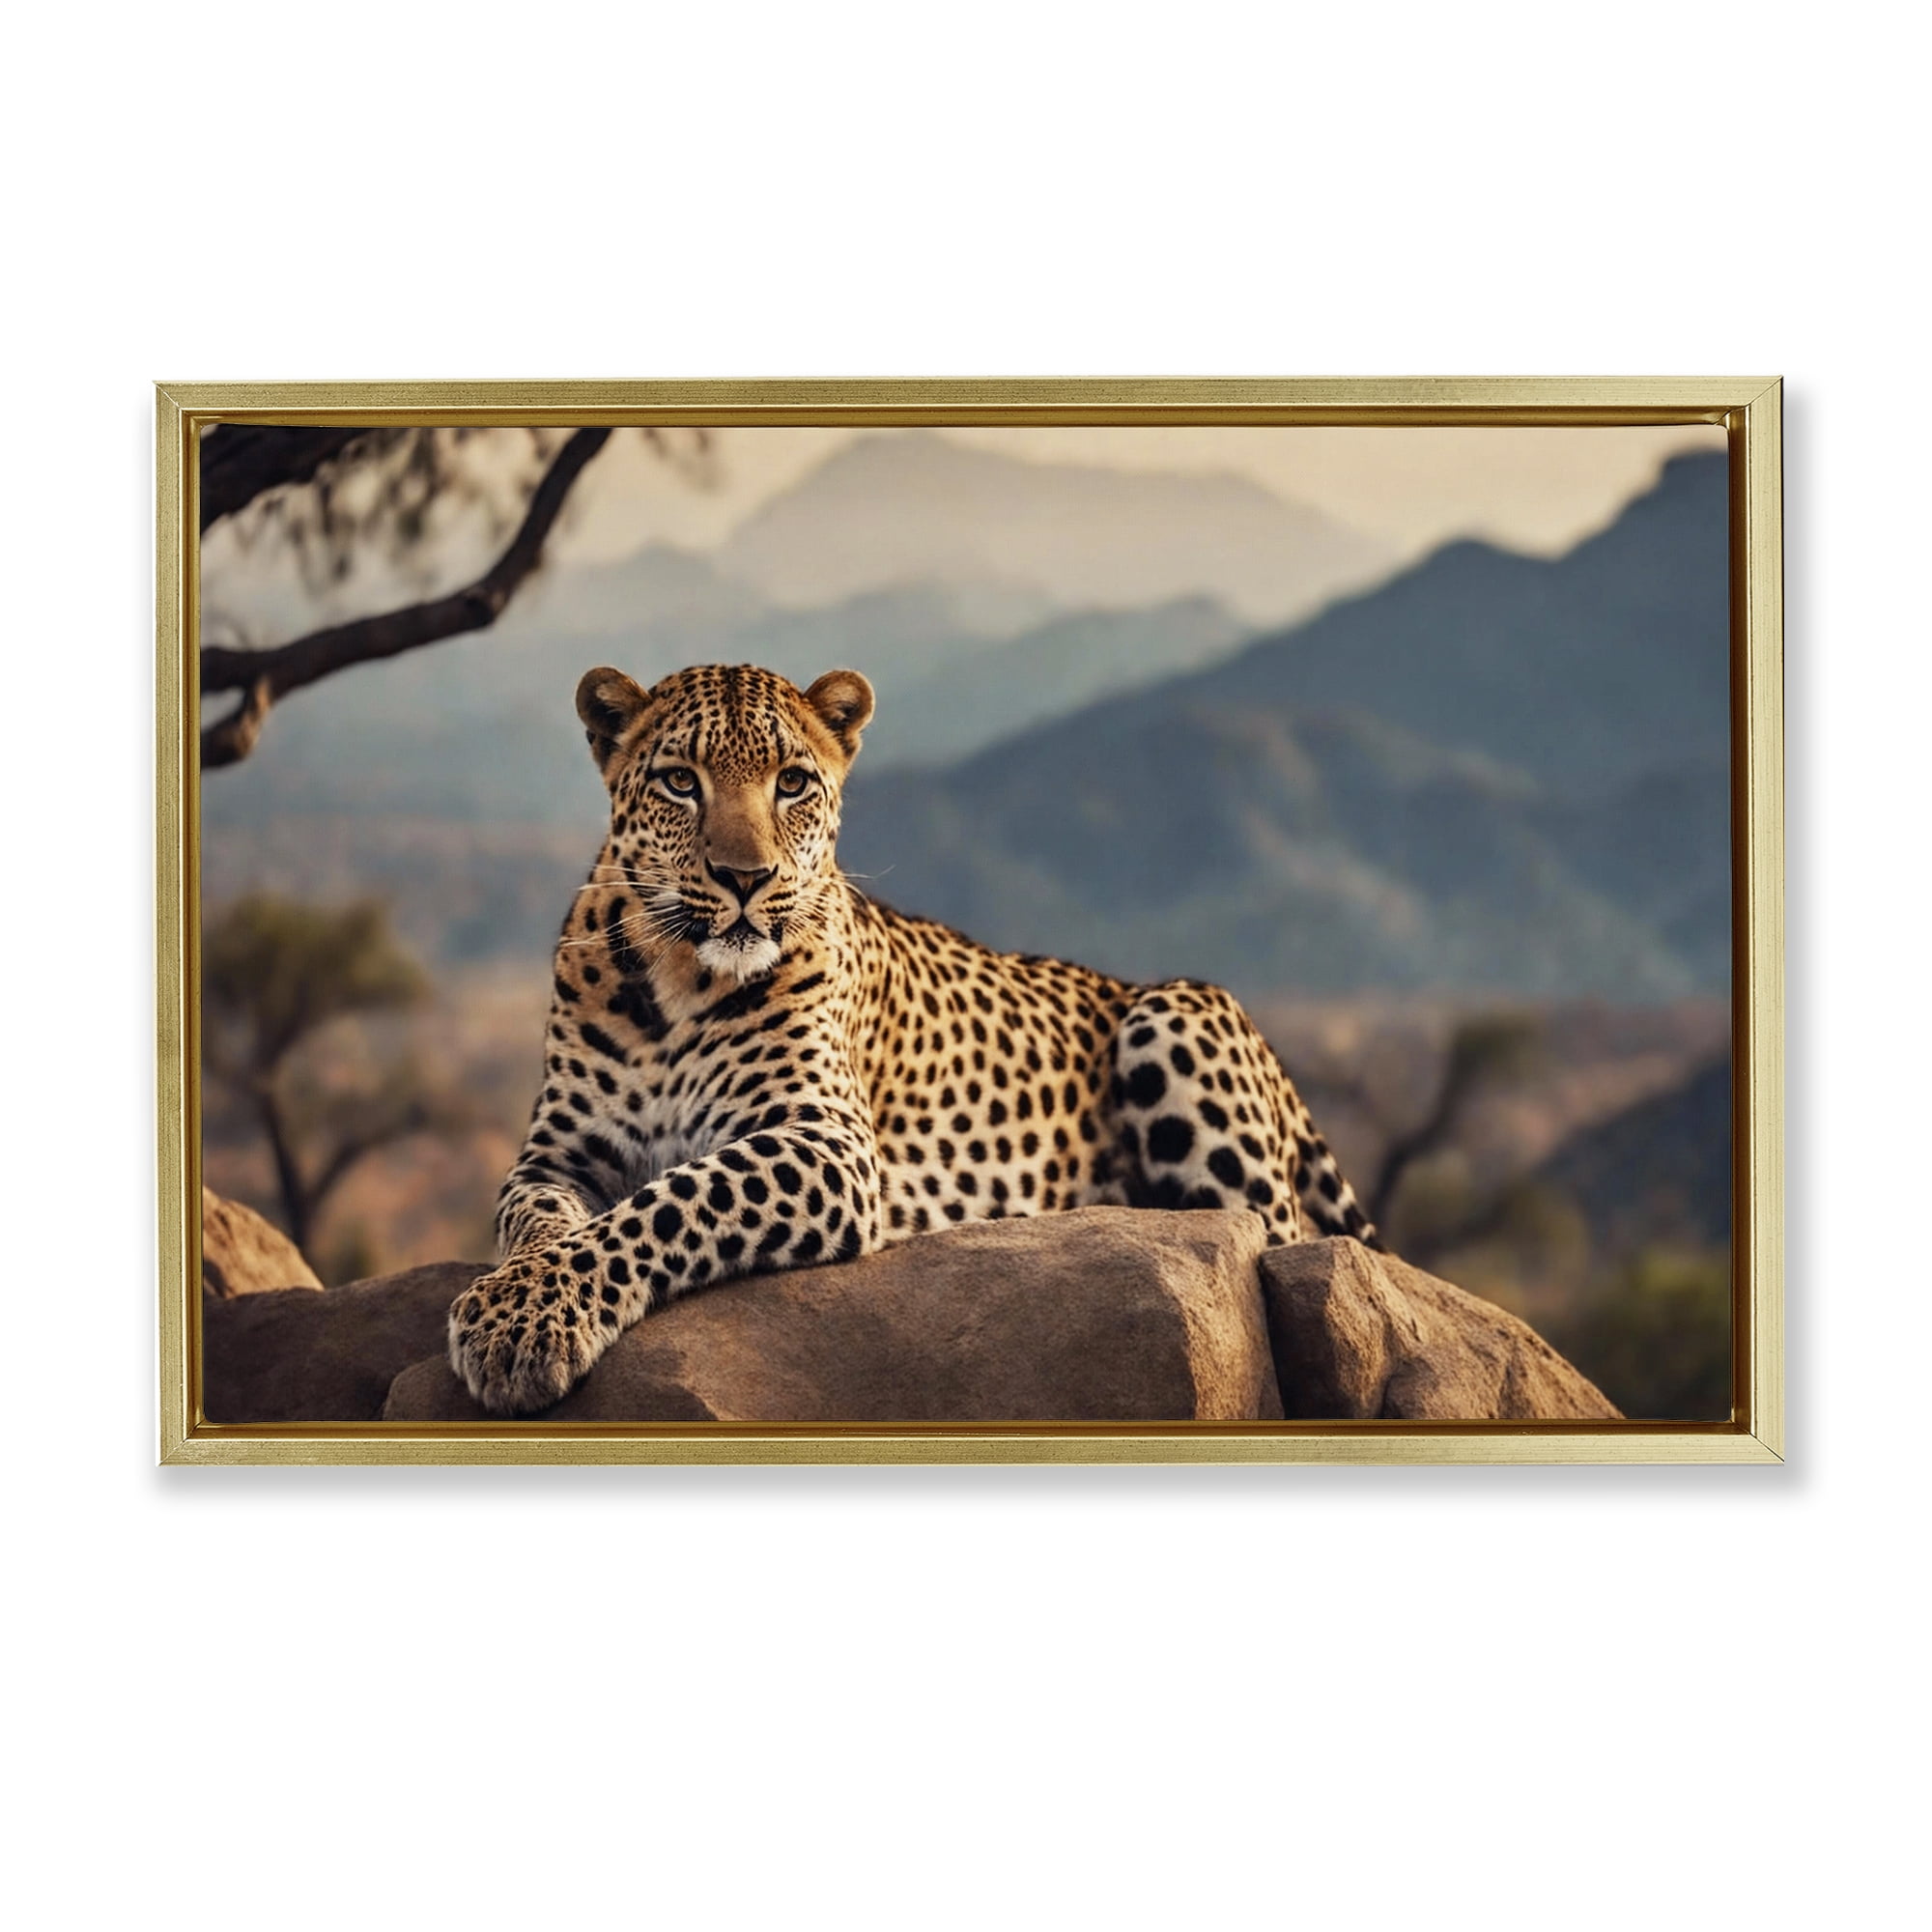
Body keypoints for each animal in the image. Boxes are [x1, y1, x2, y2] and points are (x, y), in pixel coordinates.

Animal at [448, 661, 1380, 1414]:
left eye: (793, 782)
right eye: (680, 781)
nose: (746, 879)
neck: (681, 978)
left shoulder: (825, 1142)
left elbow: (673, 1200)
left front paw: (520, 1321)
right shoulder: (558, 1152)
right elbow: (542, 1219)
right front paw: (517, 1297)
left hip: (1178, 1019)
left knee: (1271, 1235)